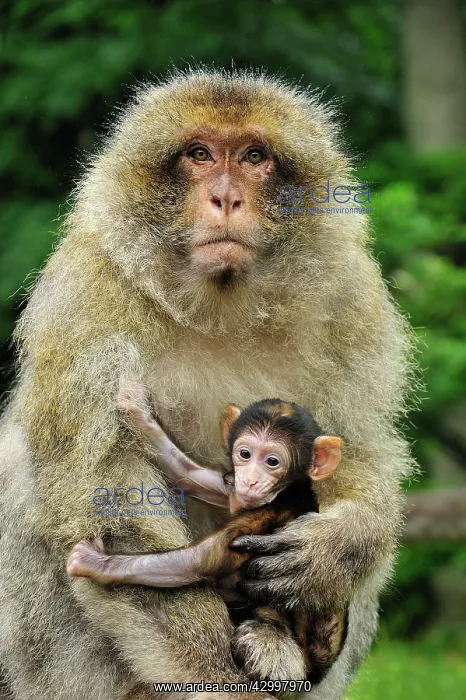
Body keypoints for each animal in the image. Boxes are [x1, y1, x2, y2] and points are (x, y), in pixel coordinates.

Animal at [67, 382, 347, 684]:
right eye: (245, 454)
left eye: (272, 461)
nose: (251, 480)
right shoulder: (231, 487)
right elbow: (190, 476)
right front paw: (139, 412)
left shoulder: (275, 509)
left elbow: (205, 558)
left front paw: (96, 563)